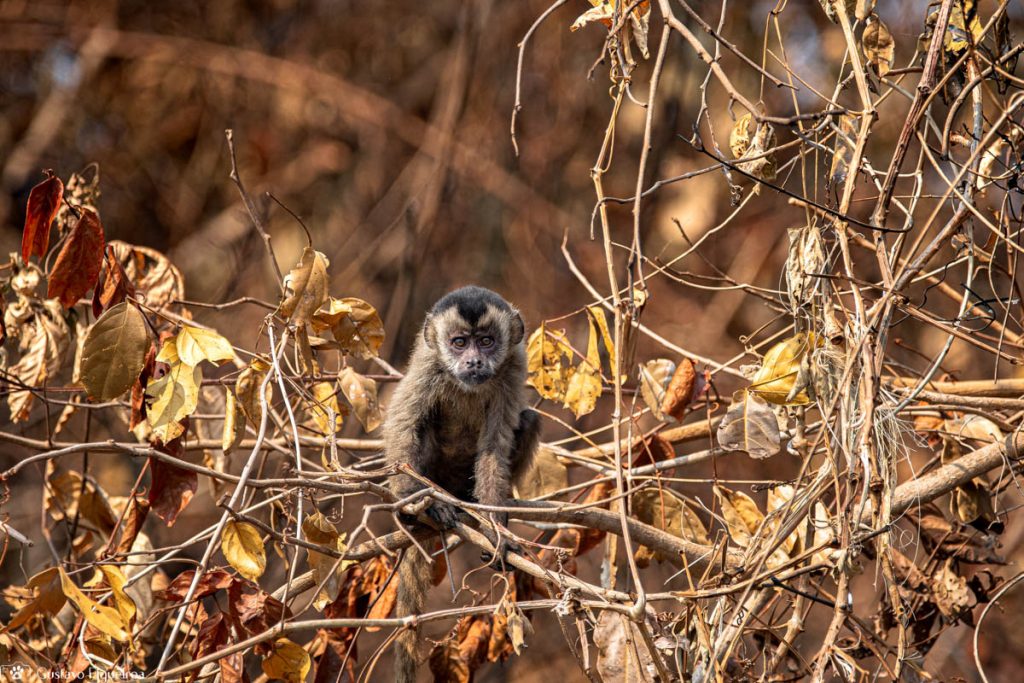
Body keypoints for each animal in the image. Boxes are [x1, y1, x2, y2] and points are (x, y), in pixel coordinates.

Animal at [384, 286, 540, 683]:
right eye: (458, 343)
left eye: (486, 342)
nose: (473, 362)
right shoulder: (428, 364)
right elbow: (403, 424)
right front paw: (407, 500)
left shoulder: (513, 365)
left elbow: (494, 448)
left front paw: (497, 529)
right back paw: (427, 509)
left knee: (530, 419)